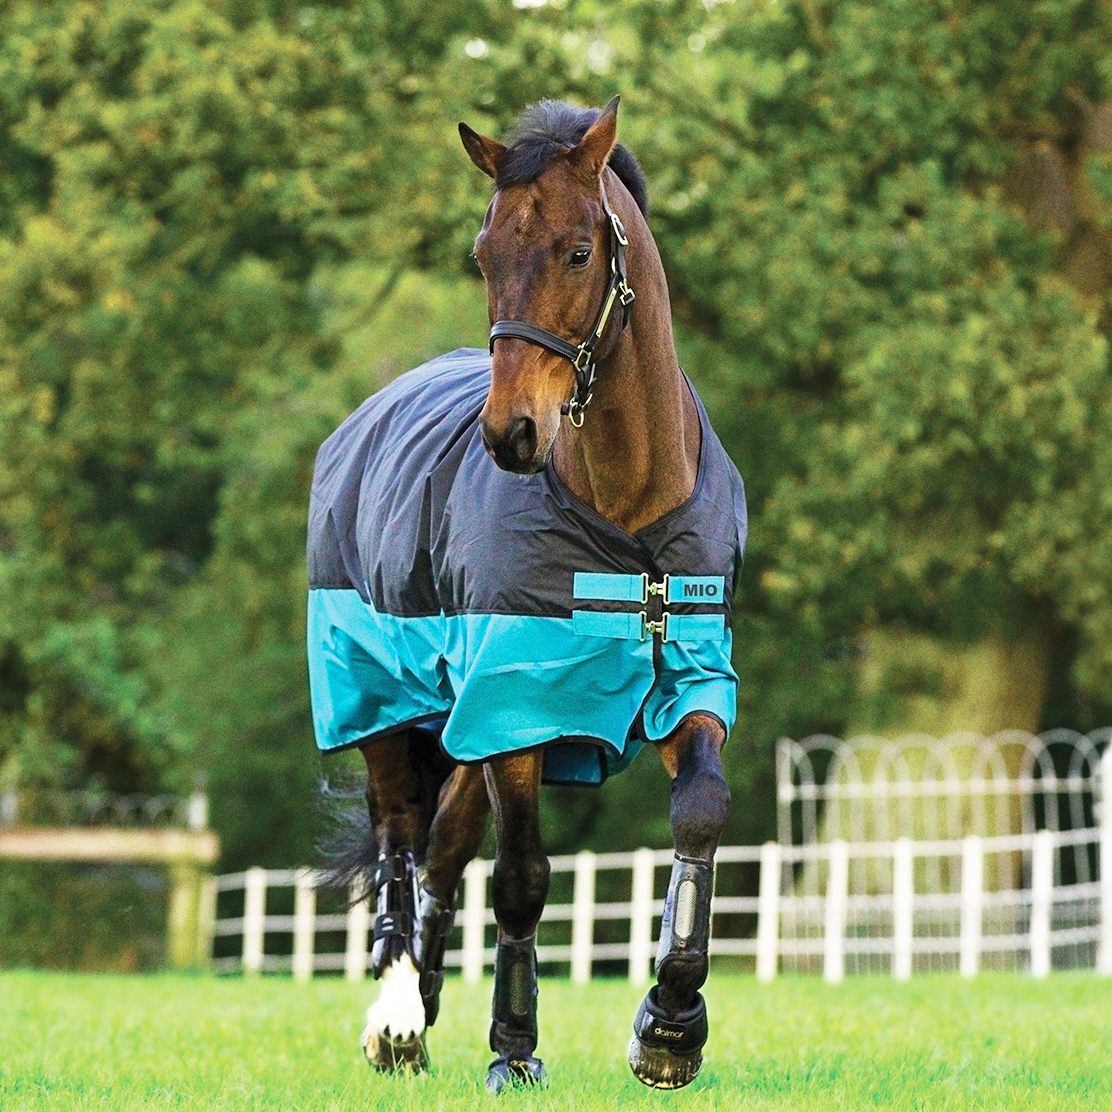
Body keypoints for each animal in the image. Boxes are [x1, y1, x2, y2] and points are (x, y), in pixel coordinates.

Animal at [306, 96, 747, 1091]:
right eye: (484, 253)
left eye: (579, 252)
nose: (510, 432)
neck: (626, 513)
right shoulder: (518, 705)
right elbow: (522, 878)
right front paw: (514, 1049)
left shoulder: (689, 679)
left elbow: (700, 813)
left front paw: (671, 1026)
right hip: (386, 701)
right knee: (401, 839)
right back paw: (398, 1016)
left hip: (463, 728)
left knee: (441, 851)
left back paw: (425, 1004)